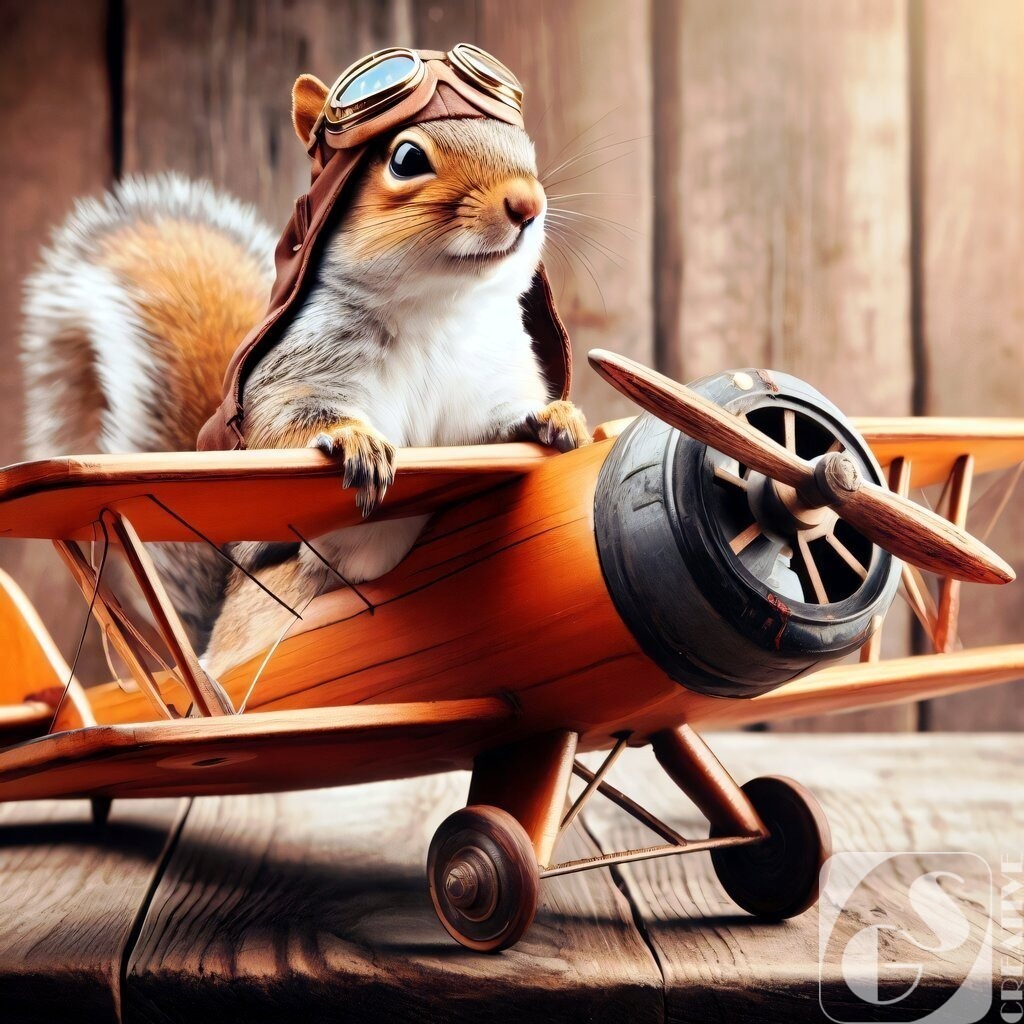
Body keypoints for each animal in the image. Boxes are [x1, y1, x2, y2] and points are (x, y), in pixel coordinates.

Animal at [22, 71, 590, 677]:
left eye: (525, 147)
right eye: (407, 158)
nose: (528, 203)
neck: (438, 307)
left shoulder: (488, 387)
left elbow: (492, 432)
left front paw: (555, 416)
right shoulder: (297, 371)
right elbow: (281, 428)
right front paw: (356, 440)